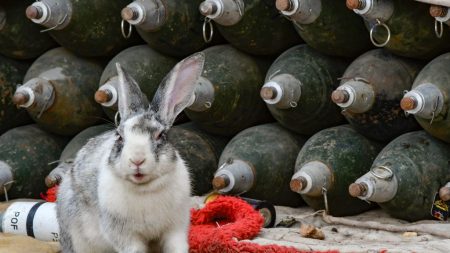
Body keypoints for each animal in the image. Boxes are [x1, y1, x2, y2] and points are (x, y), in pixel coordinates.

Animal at [56, 52, 206, 253]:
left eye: (160, 136)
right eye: (119, 136)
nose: (137, 160)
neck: (145, 189)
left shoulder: (175, 228)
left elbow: (177, 246)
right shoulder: (125, 236)